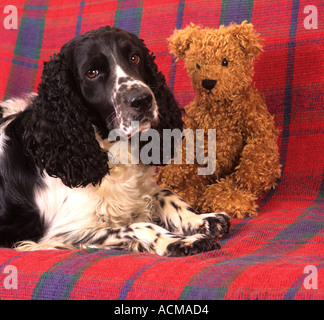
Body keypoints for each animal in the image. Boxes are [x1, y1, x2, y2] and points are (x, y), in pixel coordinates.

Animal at [0, 26, 229, 258]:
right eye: (92, 73)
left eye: (134, 57)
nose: (143, 100)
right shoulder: (64, 231)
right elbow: (140, 226)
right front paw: (181, 241)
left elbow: (164, 193)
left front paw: (201, 220)